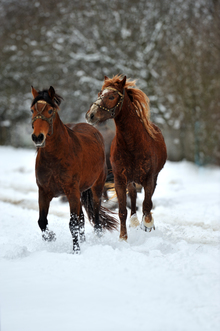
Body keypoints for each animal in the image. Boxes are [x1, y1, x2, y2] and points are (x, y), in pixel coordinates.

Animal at [30, 86, 118, 254]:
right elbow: (42, 221)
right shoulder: (43, 192)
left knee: (96, 217)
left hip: (96, 188)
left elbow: (73, 224)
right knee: (82, 218)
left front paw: (76, 251)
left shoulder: (71, 192)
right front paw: (51, 237)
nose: (38, 137)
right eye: (32, 110)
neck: (55, 157)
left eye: (50, 110)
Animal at [86, 75, 167, 241]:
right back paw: (134, 221)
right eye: (99, 94)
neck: (131, 144)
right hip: (131, 180)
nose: (91, 115)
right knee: (134, 196)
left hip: (152, 177)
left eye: (111, 96)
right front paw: (123, 237)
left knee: (147, 201)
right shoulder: (120, 179)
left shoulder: (149, 178)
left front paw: (147, 225)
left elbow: (147, 205)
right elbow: (122, 210)